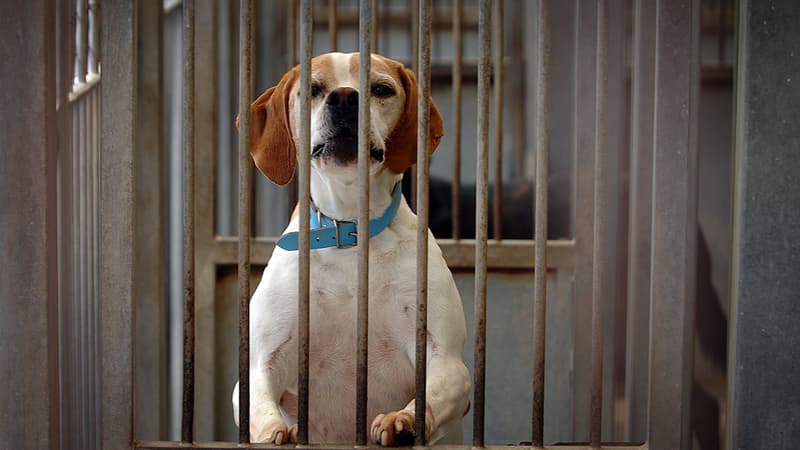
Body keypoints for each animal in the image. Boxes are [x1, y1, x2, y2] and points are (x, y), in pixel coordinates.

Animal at [230, 52, 468, 446]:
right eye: (312, 88)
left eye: (382, 89)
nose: (343, 97)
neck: (349, 231)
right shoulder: (262, 363)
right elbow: (261, 407)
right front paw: (277, 433)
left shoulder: (445, 360)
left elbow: (427, 402)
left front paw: (400, 421)